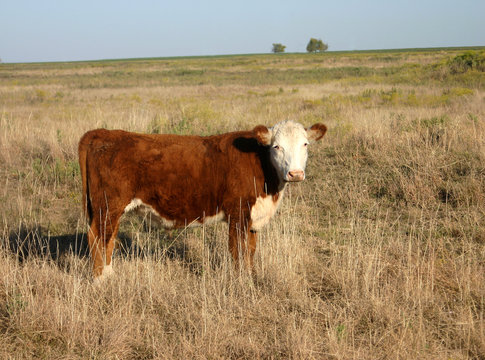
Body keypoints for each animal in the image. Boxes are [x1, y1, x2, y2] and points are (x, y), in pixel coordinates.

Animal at [78, 119, 326, 280]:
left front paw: (252, 276)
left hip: (110, 209)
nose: (295, 174)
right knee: (96, 237)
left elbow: (251, 249)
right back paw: (100, 280)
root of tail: (102, 133)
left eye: (305, 144)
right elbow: (238, 249)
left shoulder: (253, 217)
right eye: (277, 146)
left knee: (109, 237)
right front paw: (241, 281)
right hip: (108, 205)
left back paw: (109, 274)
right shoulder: (238, 213)